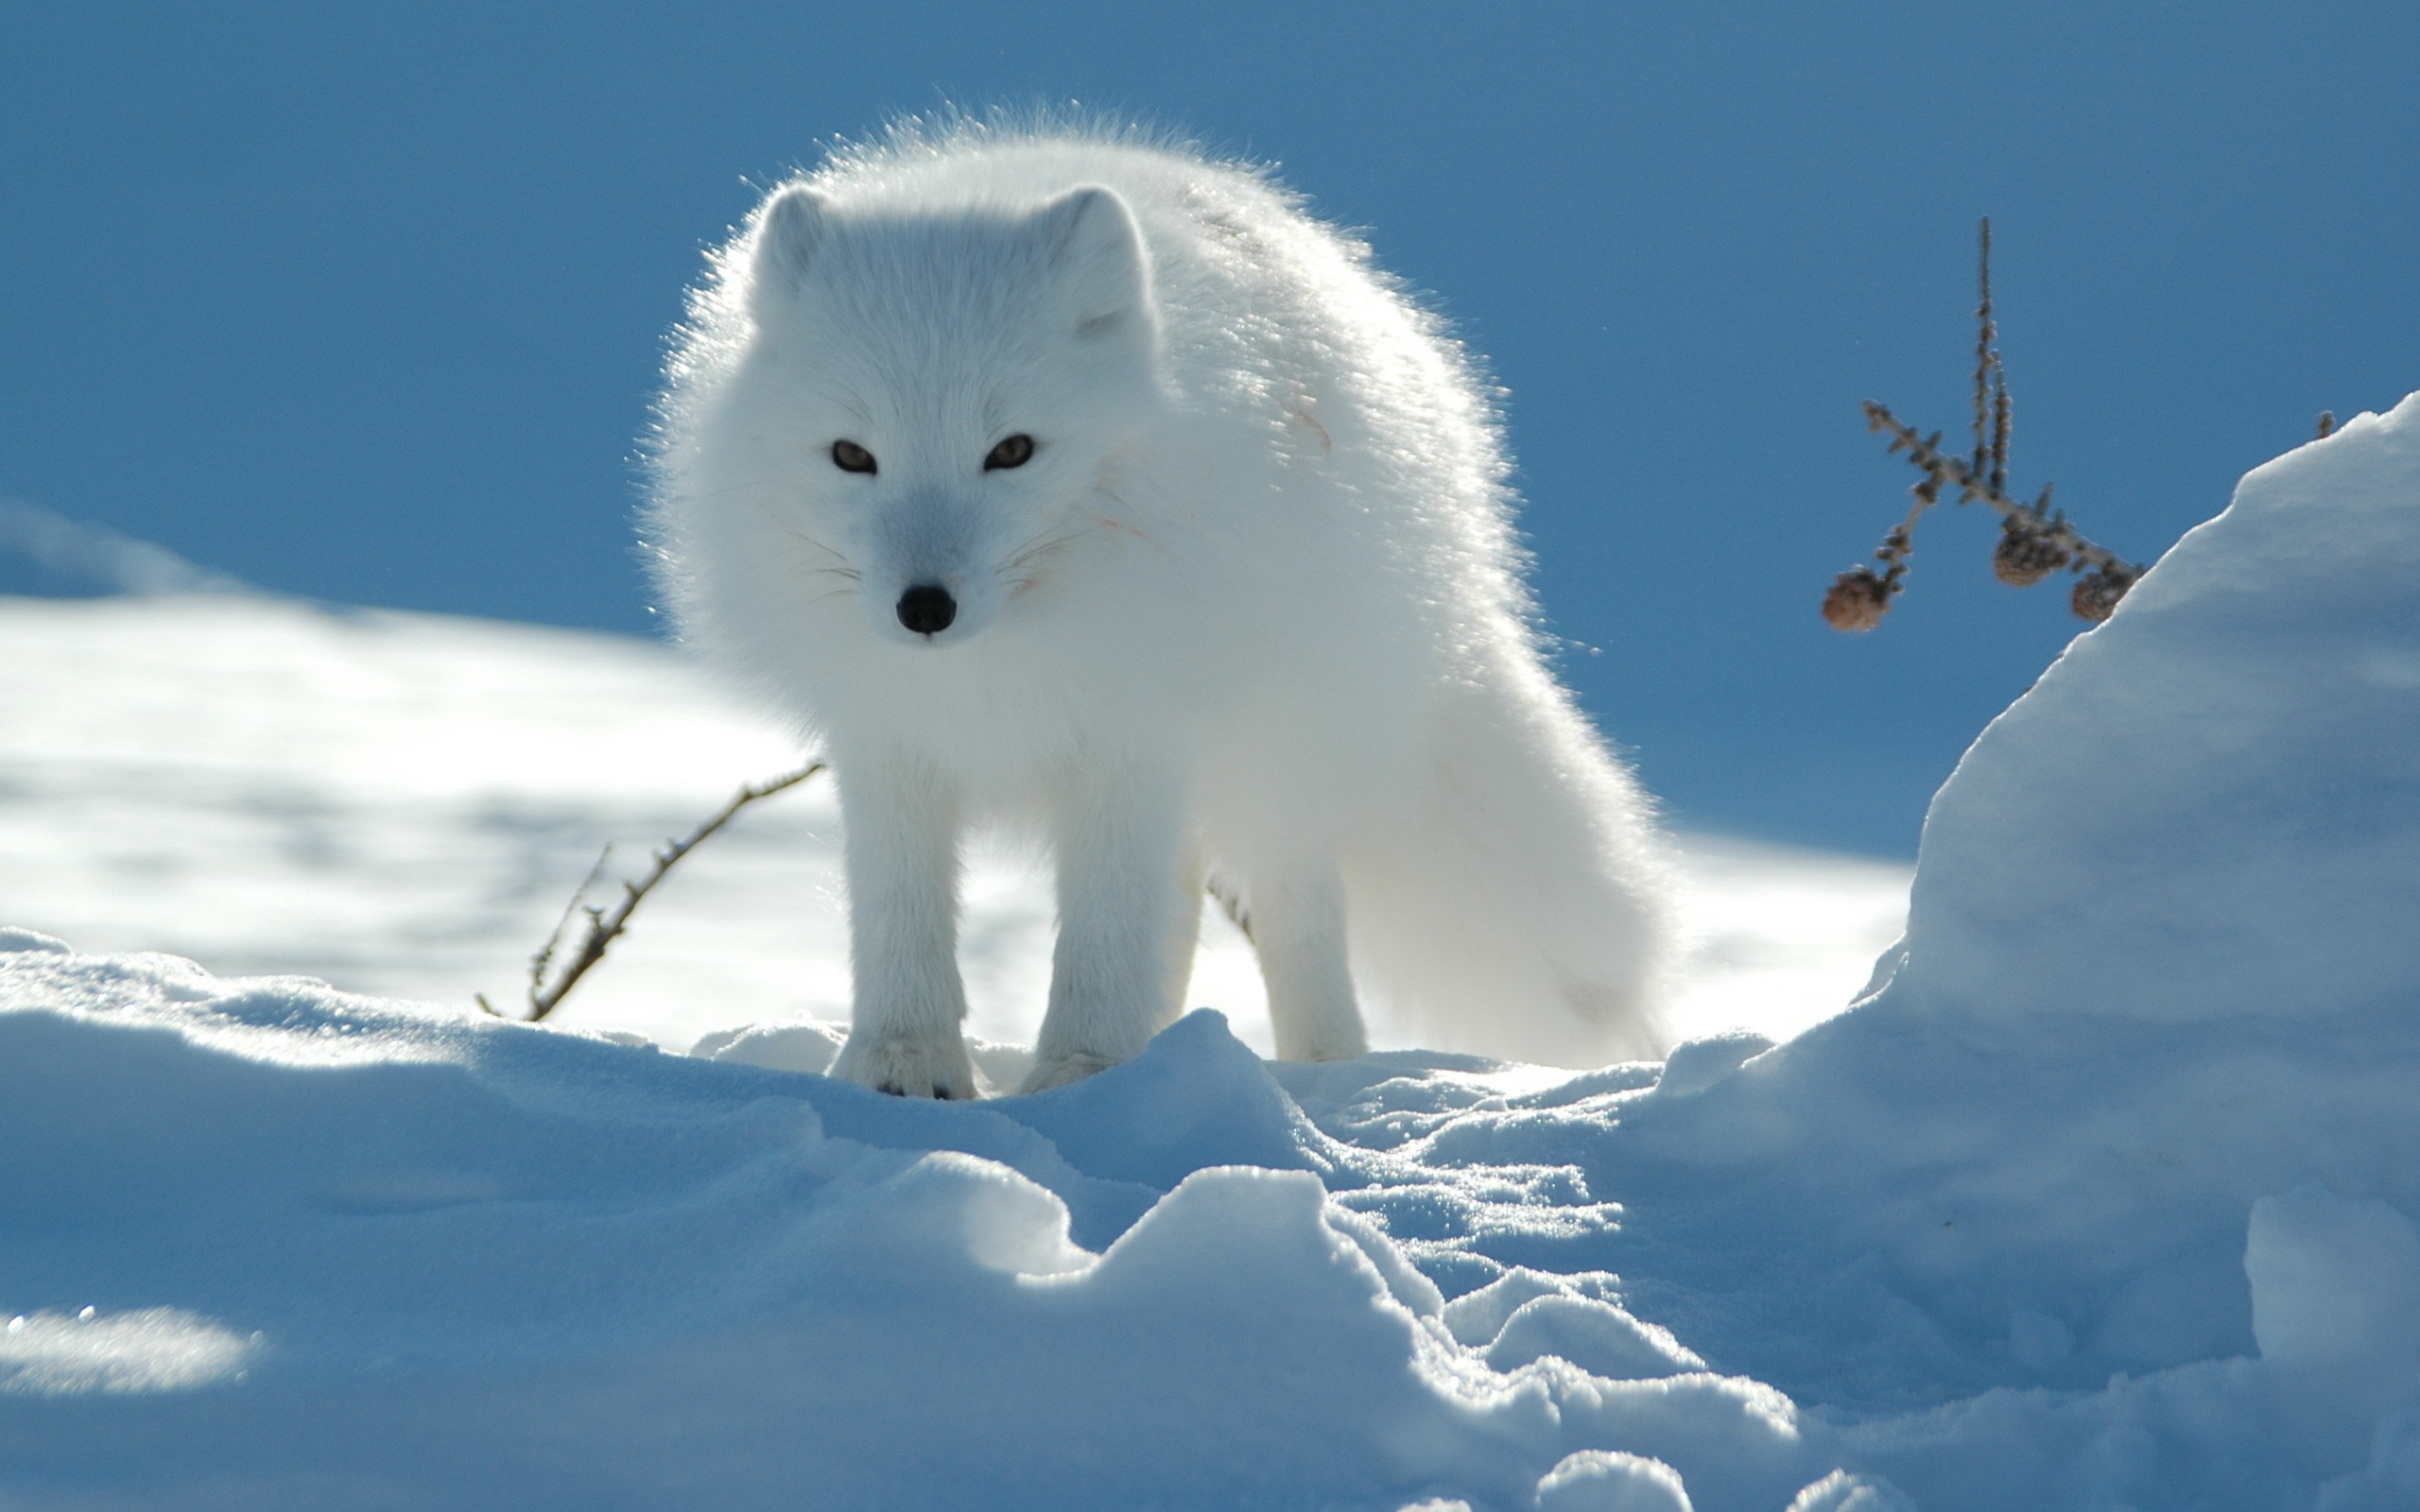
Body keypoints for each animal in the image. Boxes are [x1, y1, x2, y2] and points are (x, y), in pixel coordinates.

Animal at [653, 124, 1694, 1089]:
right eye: (851, 456)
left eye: (1012, 451)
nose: (924, 609)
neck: (997, 665)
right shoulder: (886, 738)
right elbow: (899, 918)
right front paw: (902, 1067)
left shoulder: (1135, 730)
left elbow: (1106, 932)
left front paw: (1081, 1076)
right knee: (1185, 904)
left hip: (1279, 754)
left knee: (1293, 908)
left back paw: (1319, 1070)